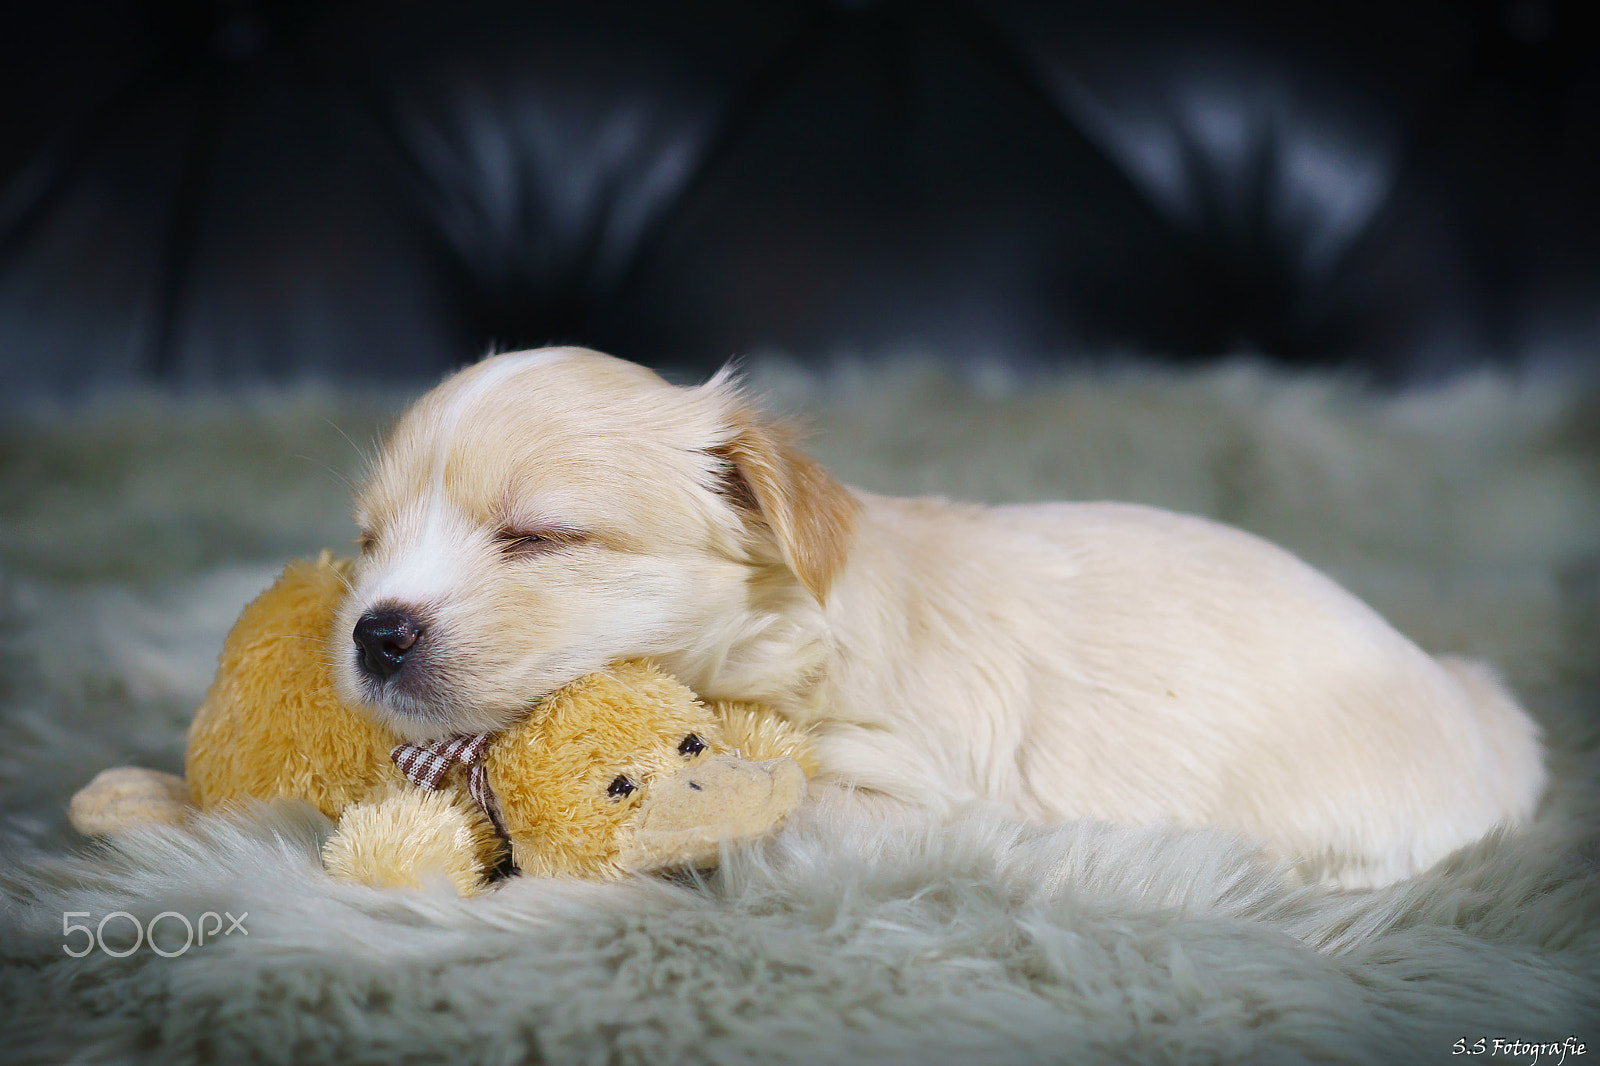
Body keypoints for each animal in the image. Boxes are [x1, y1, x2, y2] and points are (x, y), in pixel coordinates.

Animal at [340, 344, 1548, 883]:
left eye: (538, 537)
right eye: (367, 542)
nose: (373, 632)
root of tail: (1479, 712)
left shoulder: (905, 790)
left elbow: (784, 809)